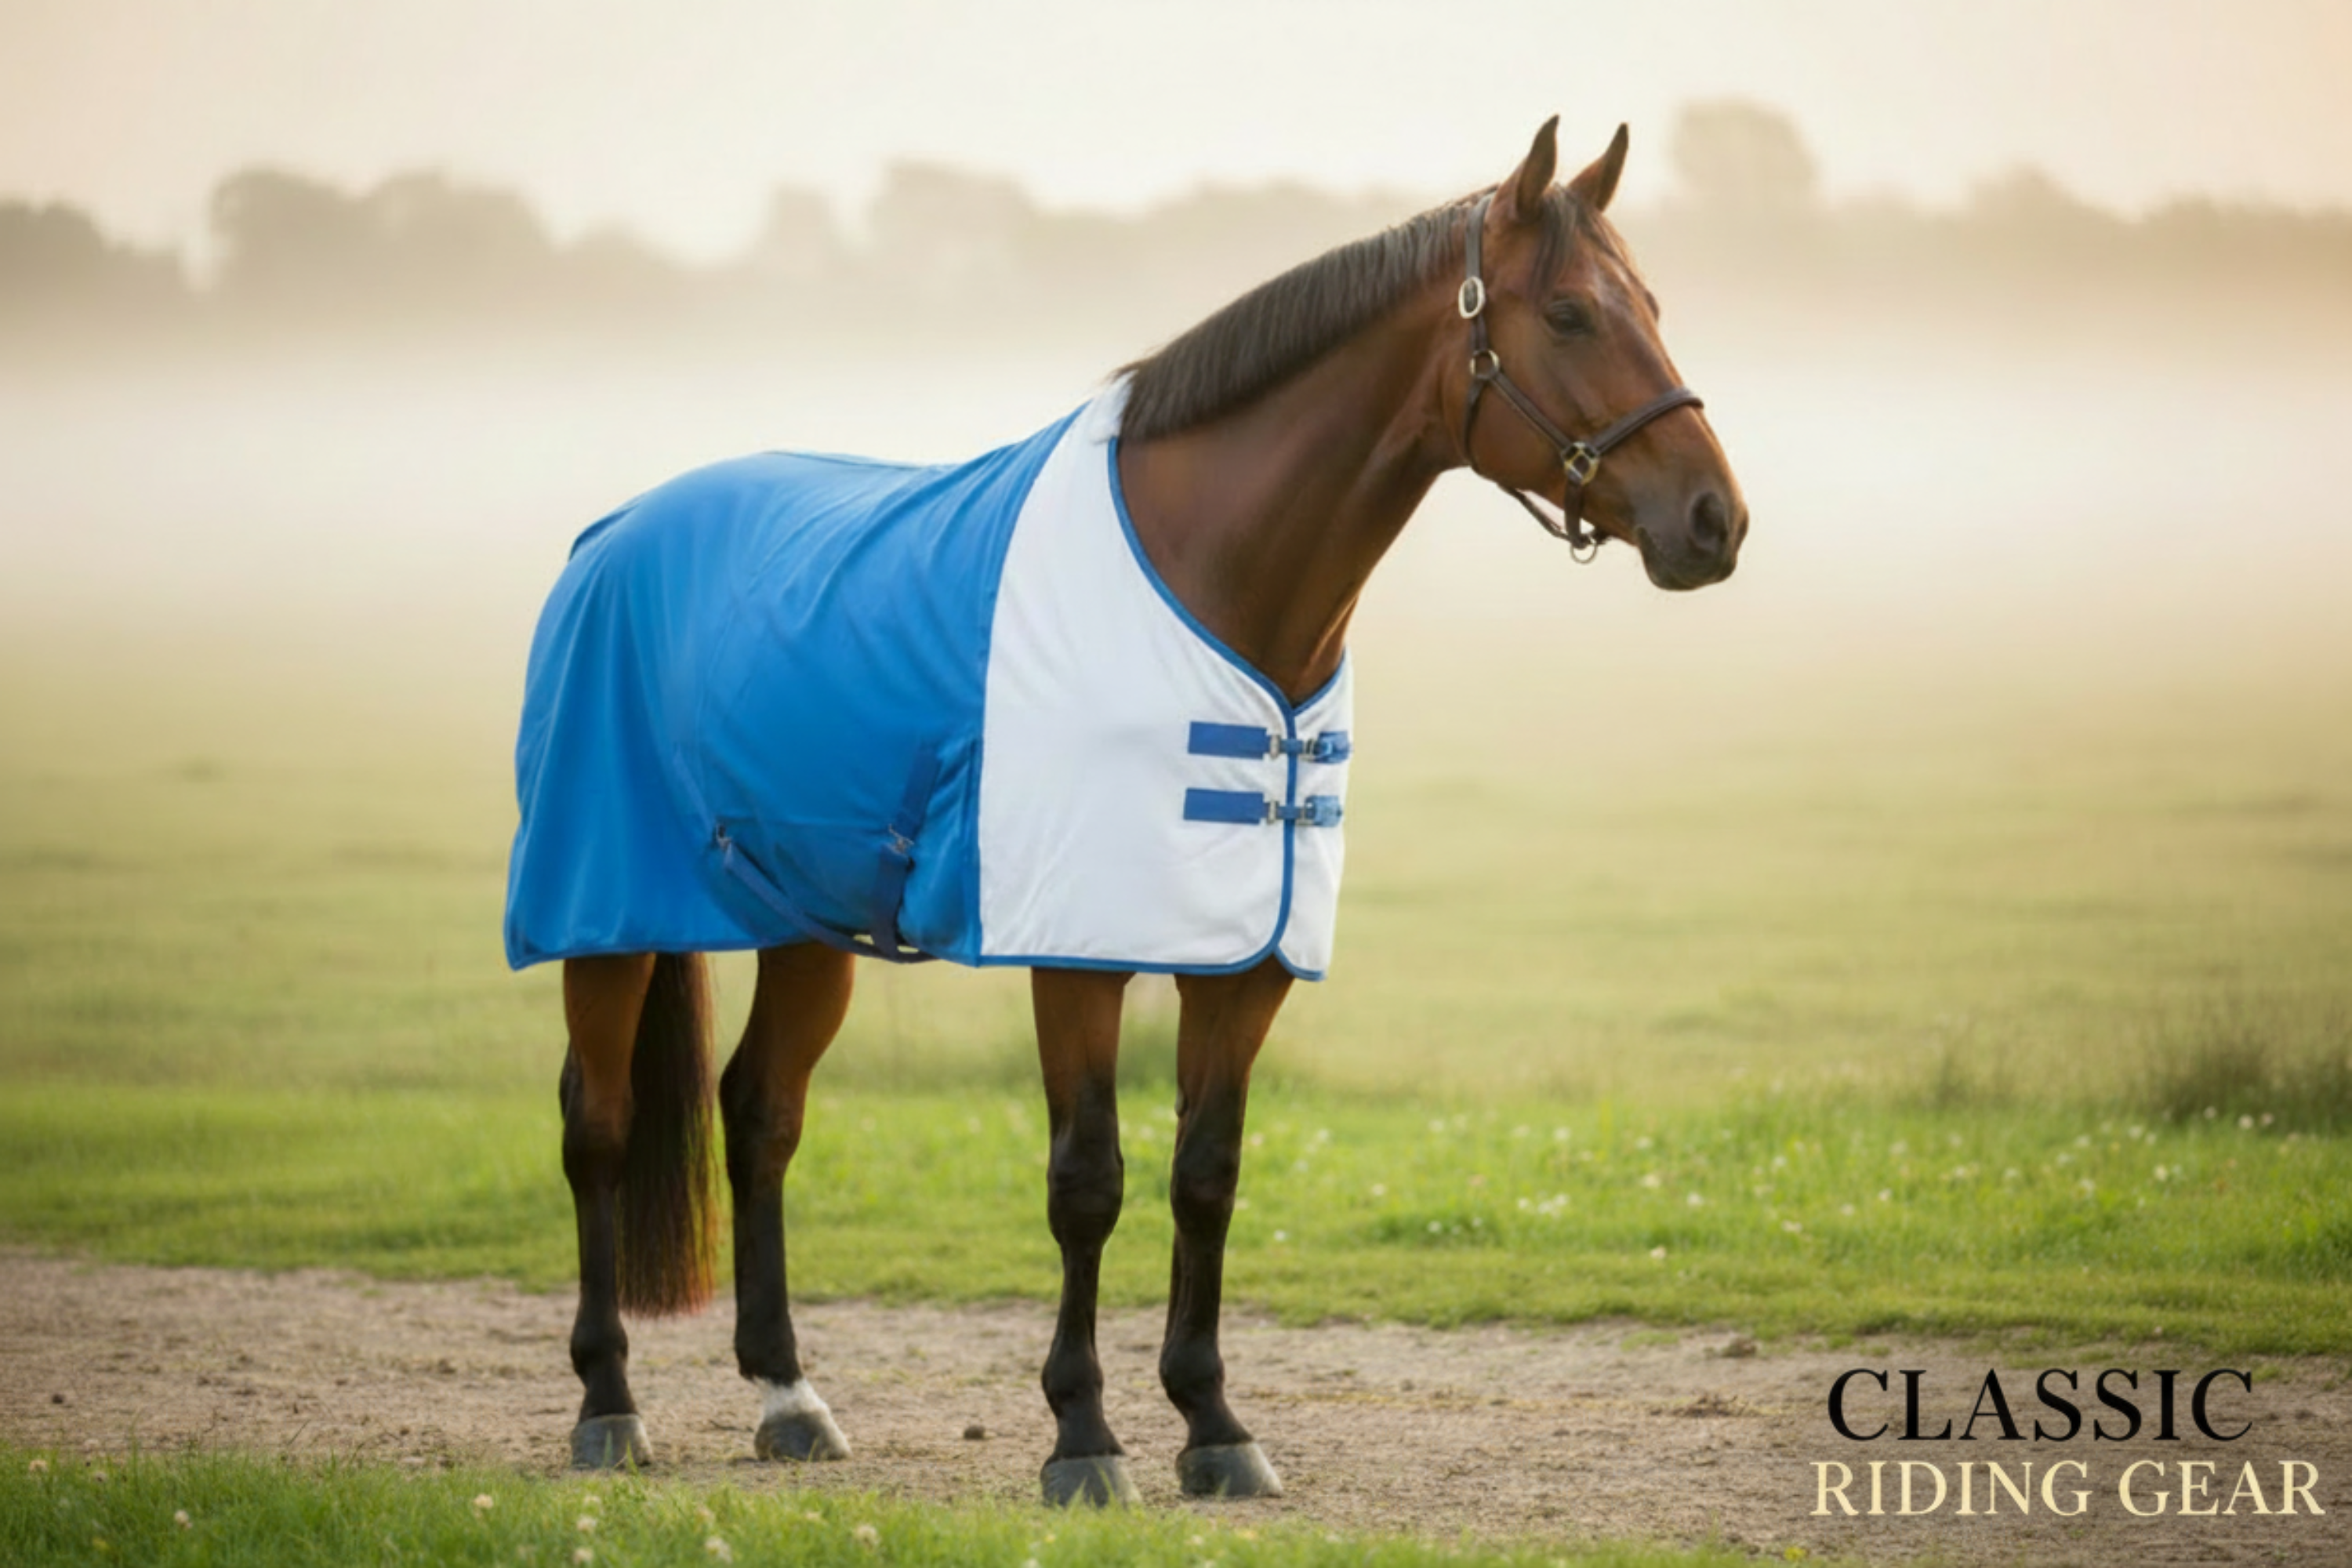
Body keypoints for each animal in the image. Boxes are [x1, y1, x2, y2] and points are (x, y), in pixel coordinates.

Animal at [509, 116, 1746, 1505]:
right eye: (1575, 313)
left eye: (1653, 306)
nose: (1715, 519)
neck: (1215, 578)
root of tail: (613, 534)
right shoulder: (1079, 951)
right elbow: (1087, 1182)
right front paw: (1084, 1435)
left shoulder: (1247, 962)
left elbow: (1206, 1177)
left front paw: (1214, 1424)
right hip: (606, 912)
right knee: (598, 1125)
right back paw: (609, 1405)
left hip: (804, 924)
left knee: (760, 1116)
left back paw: (788, 1394)